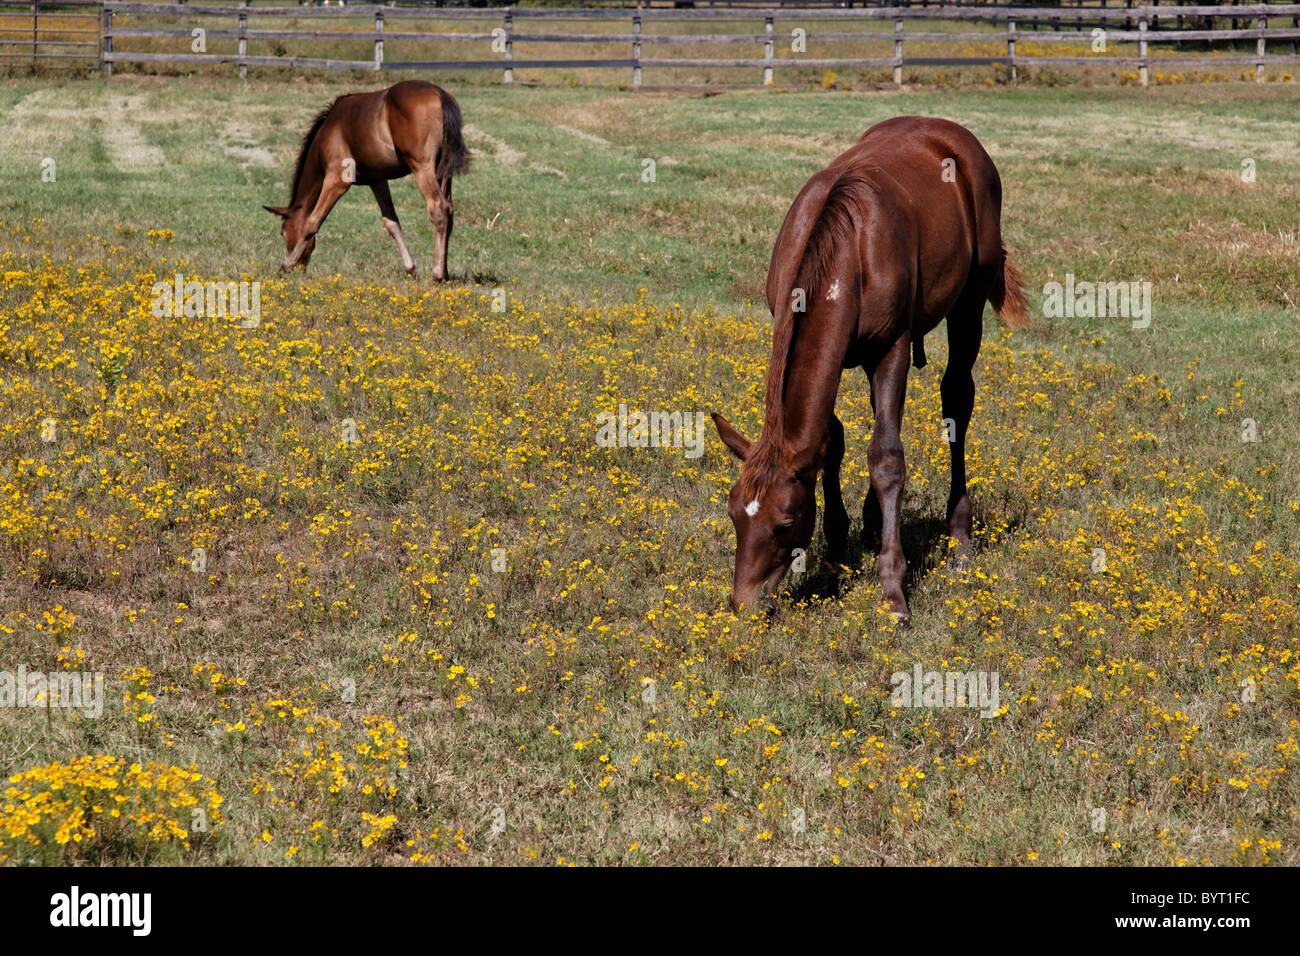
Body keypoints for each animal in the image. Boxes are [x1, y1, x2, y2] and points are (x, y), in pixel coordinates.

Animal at [261, 80, 470, 280]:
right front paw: (410, 268)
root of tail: (440, 94)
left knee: (438, 209)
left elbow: (312, 222)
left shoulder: (336, 180)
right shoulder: (377, 180)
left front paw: (285, 266)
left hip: (423, 168)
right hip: (442, 172)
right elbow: (391, 222)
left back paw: (437, 275)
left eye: (283, 232)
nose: (300, 269)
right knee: (449, 212)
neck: (330, 130)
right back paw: (445, 273)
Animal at [707, 115, 1029, 621]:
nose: (744, 604)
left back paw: (958, 536)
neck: (847, 247)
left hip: (968, 305)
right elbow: (831, 440)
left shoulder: (891, 348)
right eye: (734, 512)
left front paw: (893, 588)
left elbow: (887, 458)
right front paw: (838, 546)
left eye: (784, 522)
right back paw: (873, 521)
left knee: (956, 399)